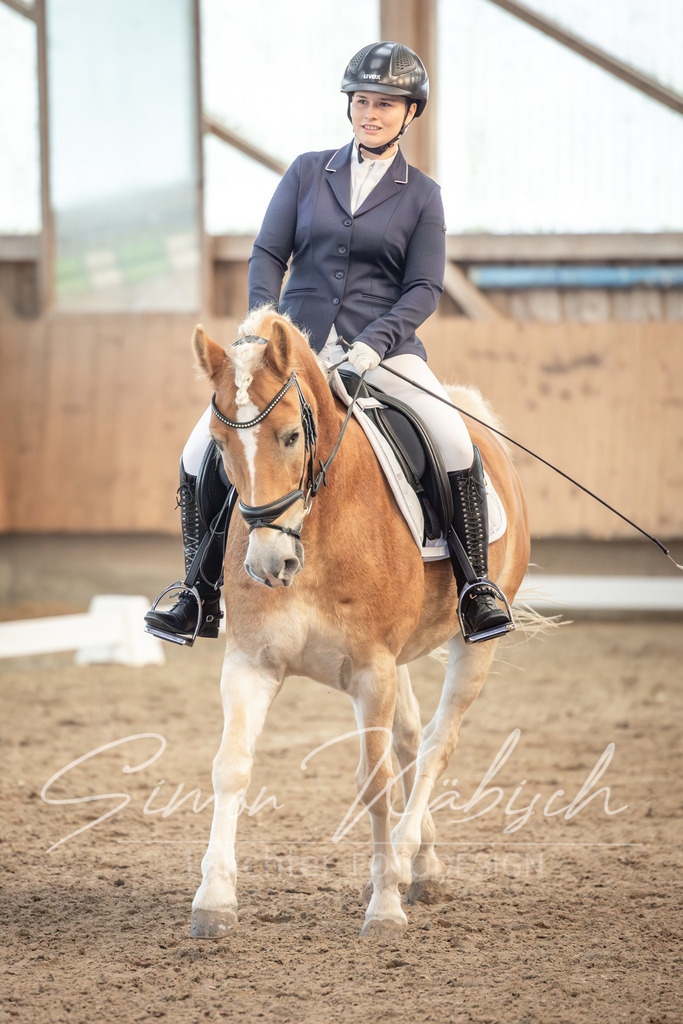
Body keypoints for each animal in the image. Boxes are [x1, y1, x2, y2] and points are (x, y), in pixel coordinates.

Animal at [189, 307, 530, 939]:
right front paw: (214, 901)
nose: (269, 564)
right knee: (413, 738)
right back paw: (422, 863)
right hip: (400, 661)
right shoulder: (251, 663)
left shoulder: (372, 670)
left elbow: (374, 783)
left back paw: (406, 857)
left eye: (291, 437)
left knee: (437, 743)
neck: (317, 530)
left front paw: (385, 906)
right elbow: (231, 768)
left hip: (474, 643)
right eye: (220, 446)